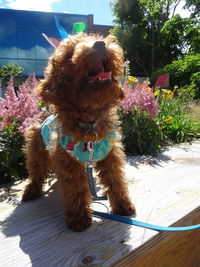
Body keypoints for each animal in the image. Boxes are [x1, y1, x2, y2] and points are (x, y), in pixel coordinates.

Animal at [22, 33, 136, 232]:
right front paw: (79, 219)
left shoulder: (111, 155)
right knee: (36, 171)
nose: (100, 44)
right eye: (69, 56)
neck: (89, 124)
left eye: (96, 38)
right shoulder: (68, 160)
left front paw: (123, 206)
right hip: (37, 150)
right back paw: (31, 190)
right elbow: (75, 188)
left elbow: (116, 180)